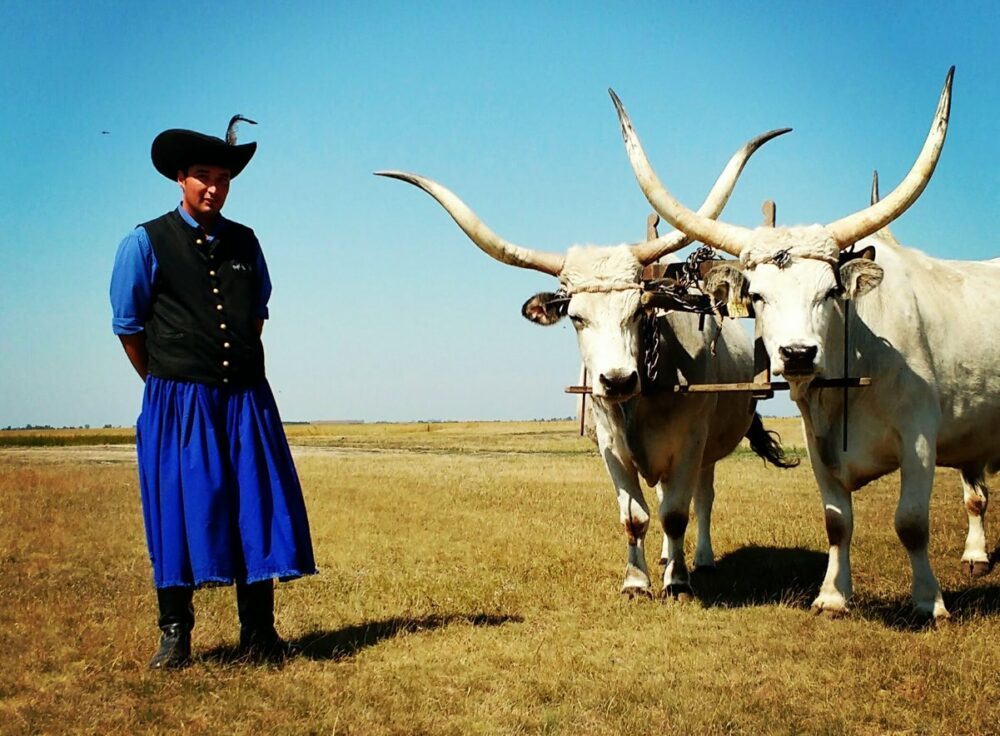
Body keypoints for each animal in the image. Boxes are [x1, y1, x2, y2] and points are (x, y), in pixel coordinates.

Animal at [376, 128, 797, 600]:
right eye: (576, 317)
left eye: (638, 309)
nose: (616, 380)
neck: (645, 392)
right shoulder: (610, 446)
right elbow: (635, 516)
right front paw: (636, 582)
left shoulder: (690, 442)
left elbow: (675, 514)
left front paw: (677, 582)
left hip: (710, 446)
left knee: (701, 498)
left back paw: (698, 559)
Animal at [611, 68, 994, 621]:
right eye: (757, 294)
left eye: (831, 291)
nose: (796, 354)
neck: (852, 370)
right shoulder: (818, 442)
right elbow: (837, 521)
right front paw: (833, 597)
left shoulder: (921, 436)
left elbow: (910, 523)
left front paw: (929, 602)